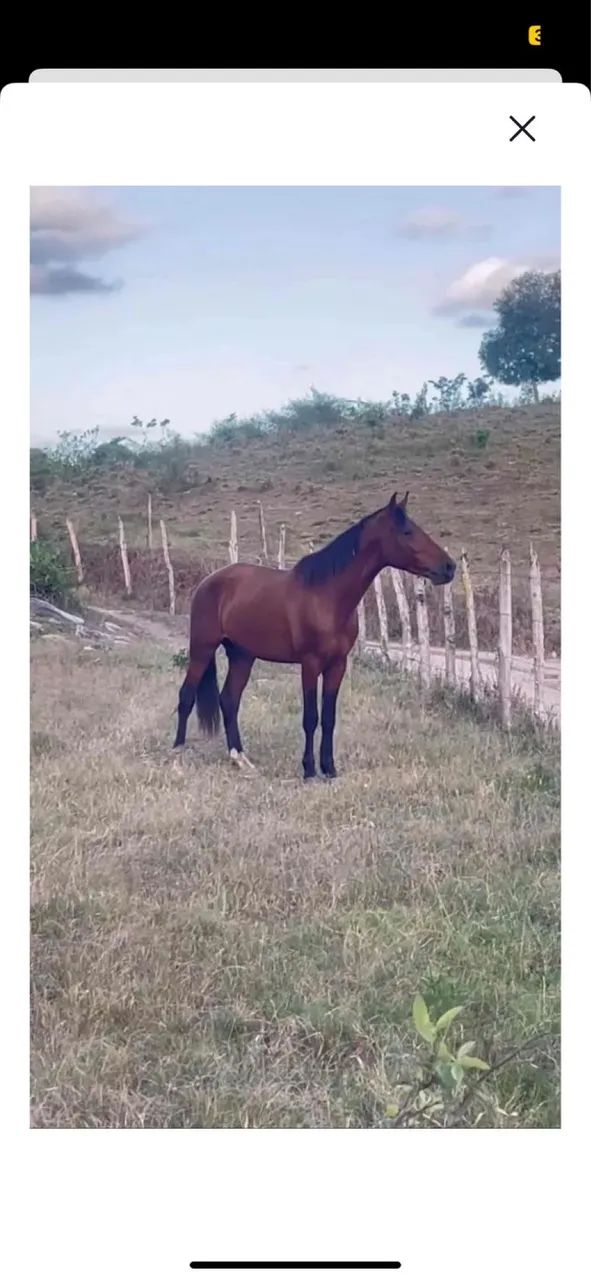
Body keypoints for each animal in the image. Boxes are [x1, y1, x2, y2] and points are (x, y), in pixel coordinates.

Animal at [173, 491, 455, 779]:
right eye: (407, 532)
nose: (449, 567)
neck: (327, 596)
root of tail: (208, 581)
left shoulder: (337, 665)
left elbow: (329, 718)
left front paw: (329, 768)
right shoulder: (310, 664)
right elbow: (311, 717)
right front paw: (309, 769)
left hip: (242, 656)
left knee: (229, 700)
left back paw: (239, 757)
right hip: (202, 649)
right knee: (186, 696)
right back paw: (177, 755)